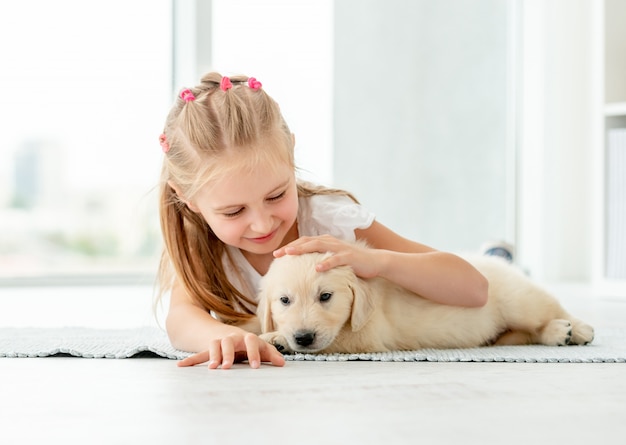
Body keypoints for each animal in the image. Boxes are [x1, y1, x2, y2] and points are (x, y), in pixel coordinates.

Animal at [256, 250, 592, 354]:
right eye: (284, 300)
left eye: (326, 297)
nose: (303, 337)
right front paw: (274, 337)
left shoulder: (366, 335)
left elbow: (335, 340)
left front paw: (275, 337)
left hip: (518, 301)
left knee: (551, 308)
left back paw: (575, 329)